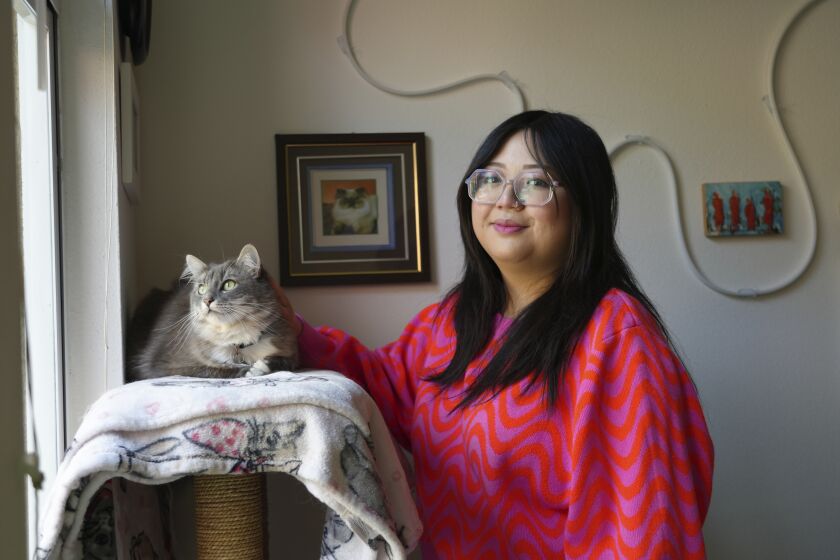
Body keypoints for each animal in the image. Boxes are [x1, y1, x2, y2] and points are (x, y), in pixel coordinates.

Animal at [123, 245, 296, 380]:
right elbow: (212, 369)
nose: (207, 300)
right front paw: (248, 370)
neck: (236, 342)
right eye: (202, 289)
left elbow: (283, 361)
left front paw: (261, 365)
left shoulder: (291, 352)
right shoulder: (166, 365)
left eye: (229, 284)